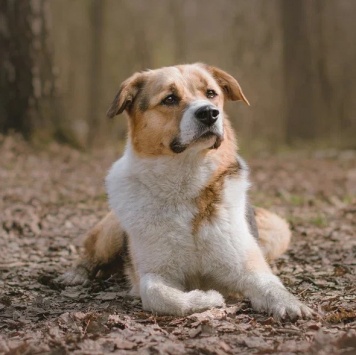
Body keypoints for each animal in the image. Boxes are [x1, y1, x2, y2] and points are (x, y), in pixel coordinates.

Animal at [59, 63, 312, 320]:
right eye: (170, 99)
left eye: (211, 94)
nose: (209, 113)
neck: (185, 183)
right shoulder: (154, 273)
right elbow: (160, 295)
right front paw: (208, 298)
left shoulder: (249, 266)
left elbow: (270, 285)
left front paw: (290, 304)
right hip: (110, 233)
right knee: (90, 254)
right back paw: (76, 275)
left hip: (278, 230)